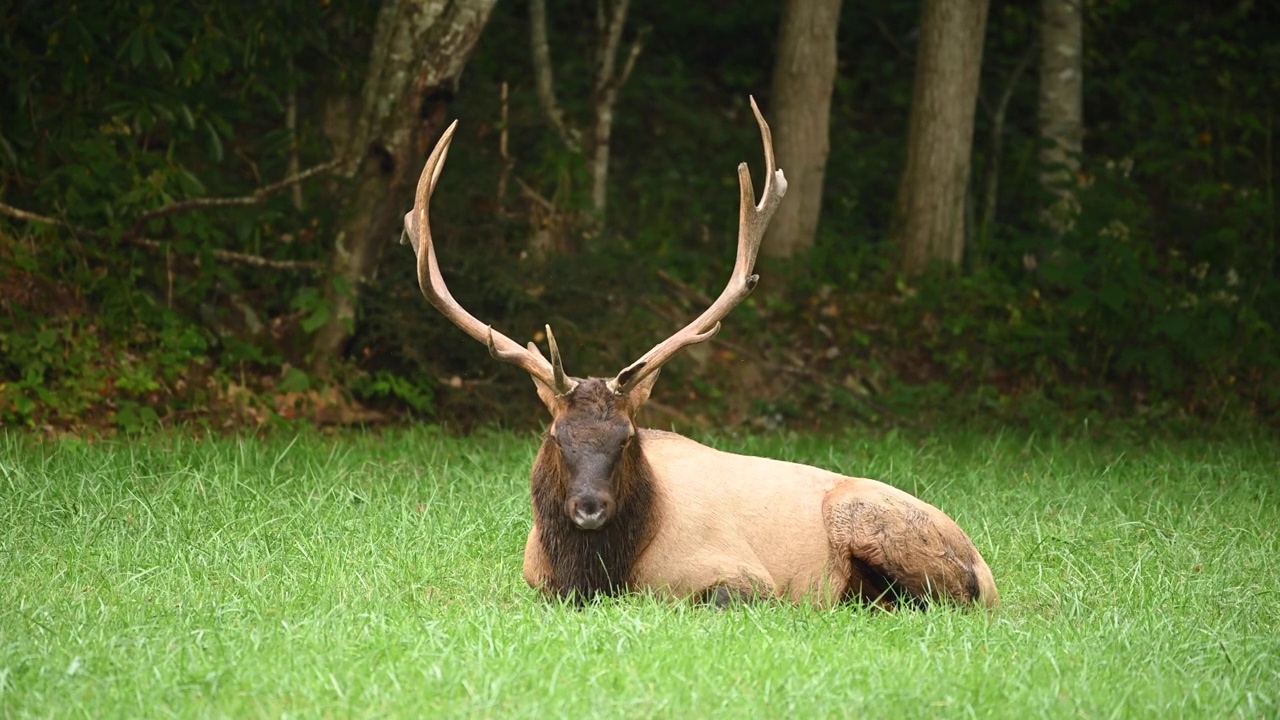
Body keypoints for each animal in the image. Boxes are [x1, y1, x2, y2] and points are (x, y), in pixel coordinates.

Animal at [399, 98, 998, 607]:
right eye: (555, 436)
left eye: (627, 438)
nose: (589, 510)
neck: (597, 576)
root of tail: (987, 572)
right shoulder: (535, 581)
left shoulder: (743, 577)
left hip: (877, 523)